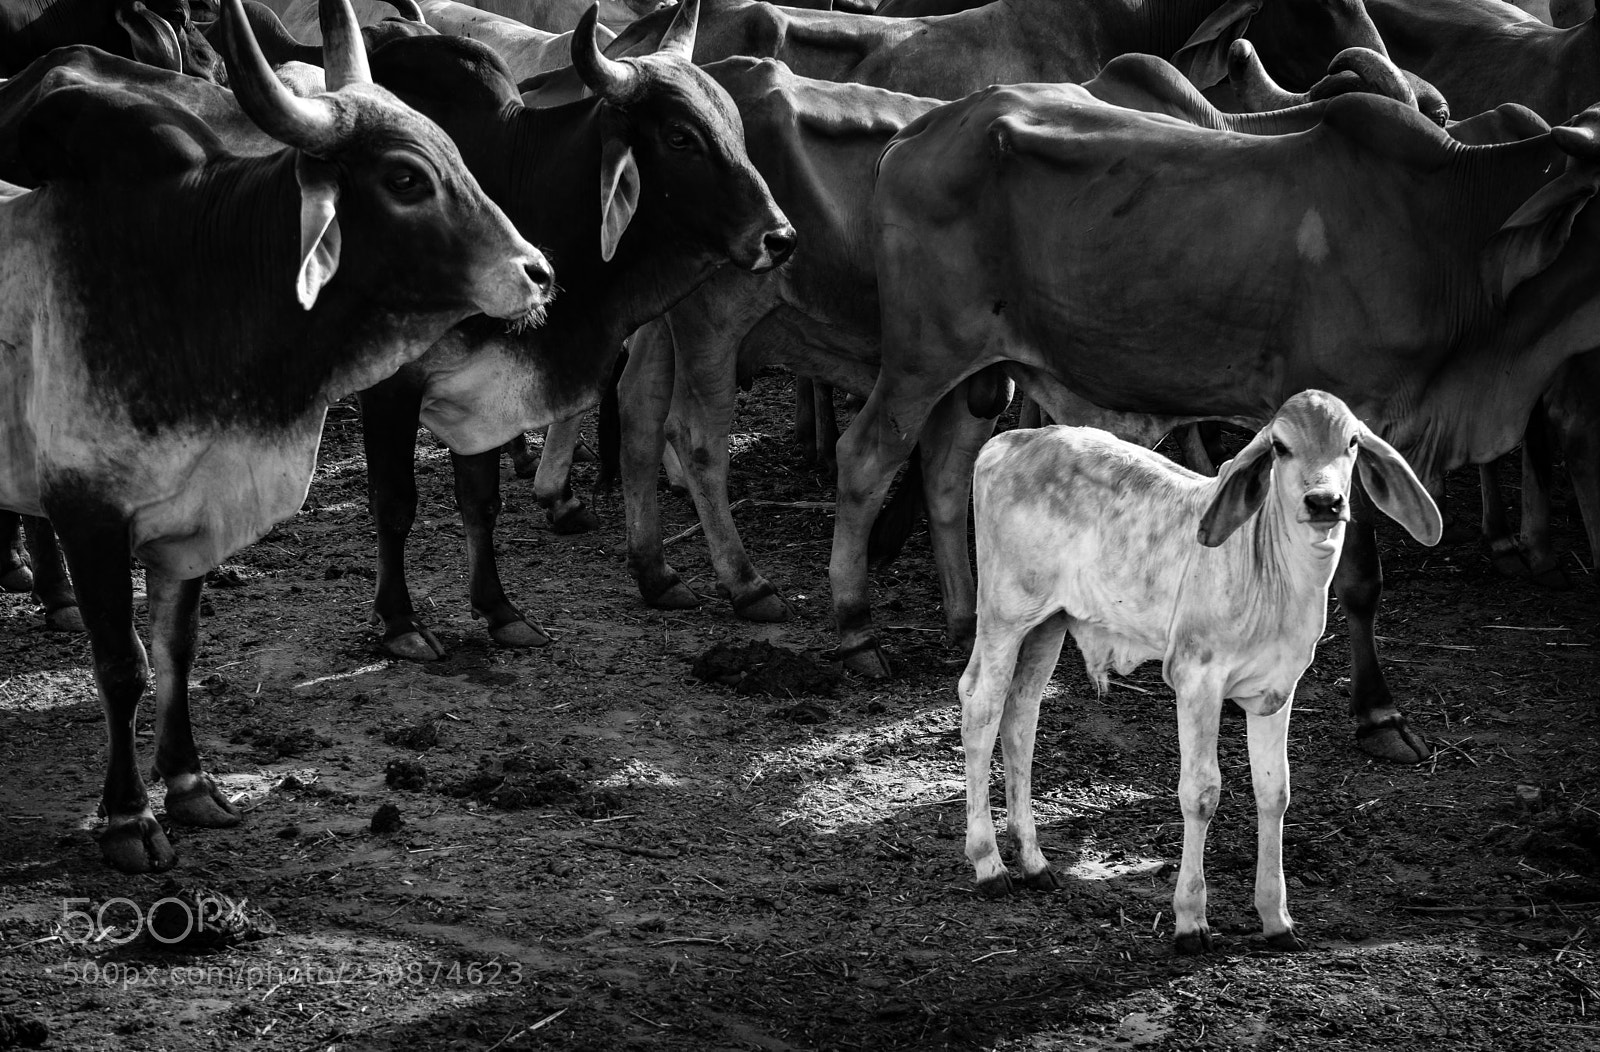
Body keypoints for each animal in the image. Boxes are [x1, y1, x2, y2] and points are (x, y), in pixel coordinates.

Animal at [346, 0, 792, 661]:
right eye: (680, 136)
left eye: (736, 126)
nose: (779, 237)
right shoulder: (390, 386)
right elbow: (396, 502)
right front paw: (401, 623)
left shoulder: (488, 386)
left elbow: (480, 500)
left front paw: (501, 611)